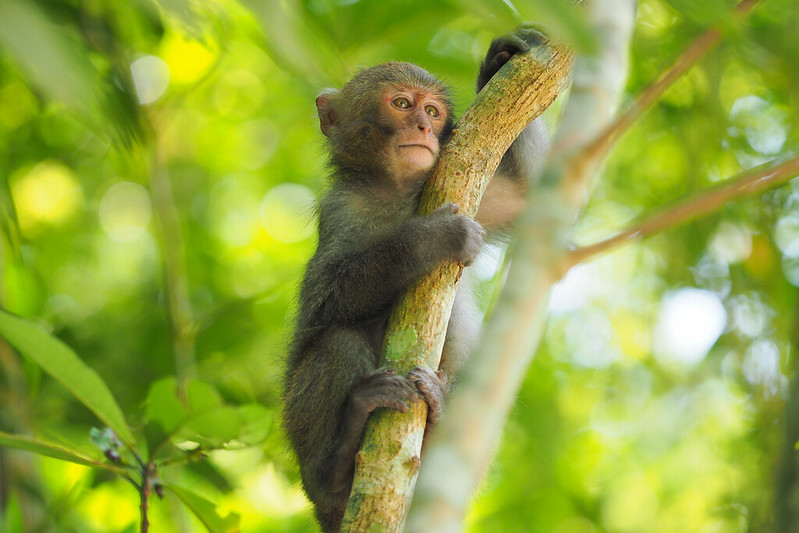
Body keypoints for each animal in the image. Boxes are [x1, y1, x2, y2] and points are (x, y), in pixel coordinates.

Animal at [282, 26, 552, 532]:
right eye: (402, 104)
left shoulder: (474, 190)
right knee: (336, 342)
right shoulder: (340, 209)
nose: (423, 129)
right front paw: (433, 237)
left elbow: (528, 196)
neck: (398, 191)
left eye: (432, 112)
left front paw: (498, 61)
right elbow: (324, 300)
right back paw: (334, 466)